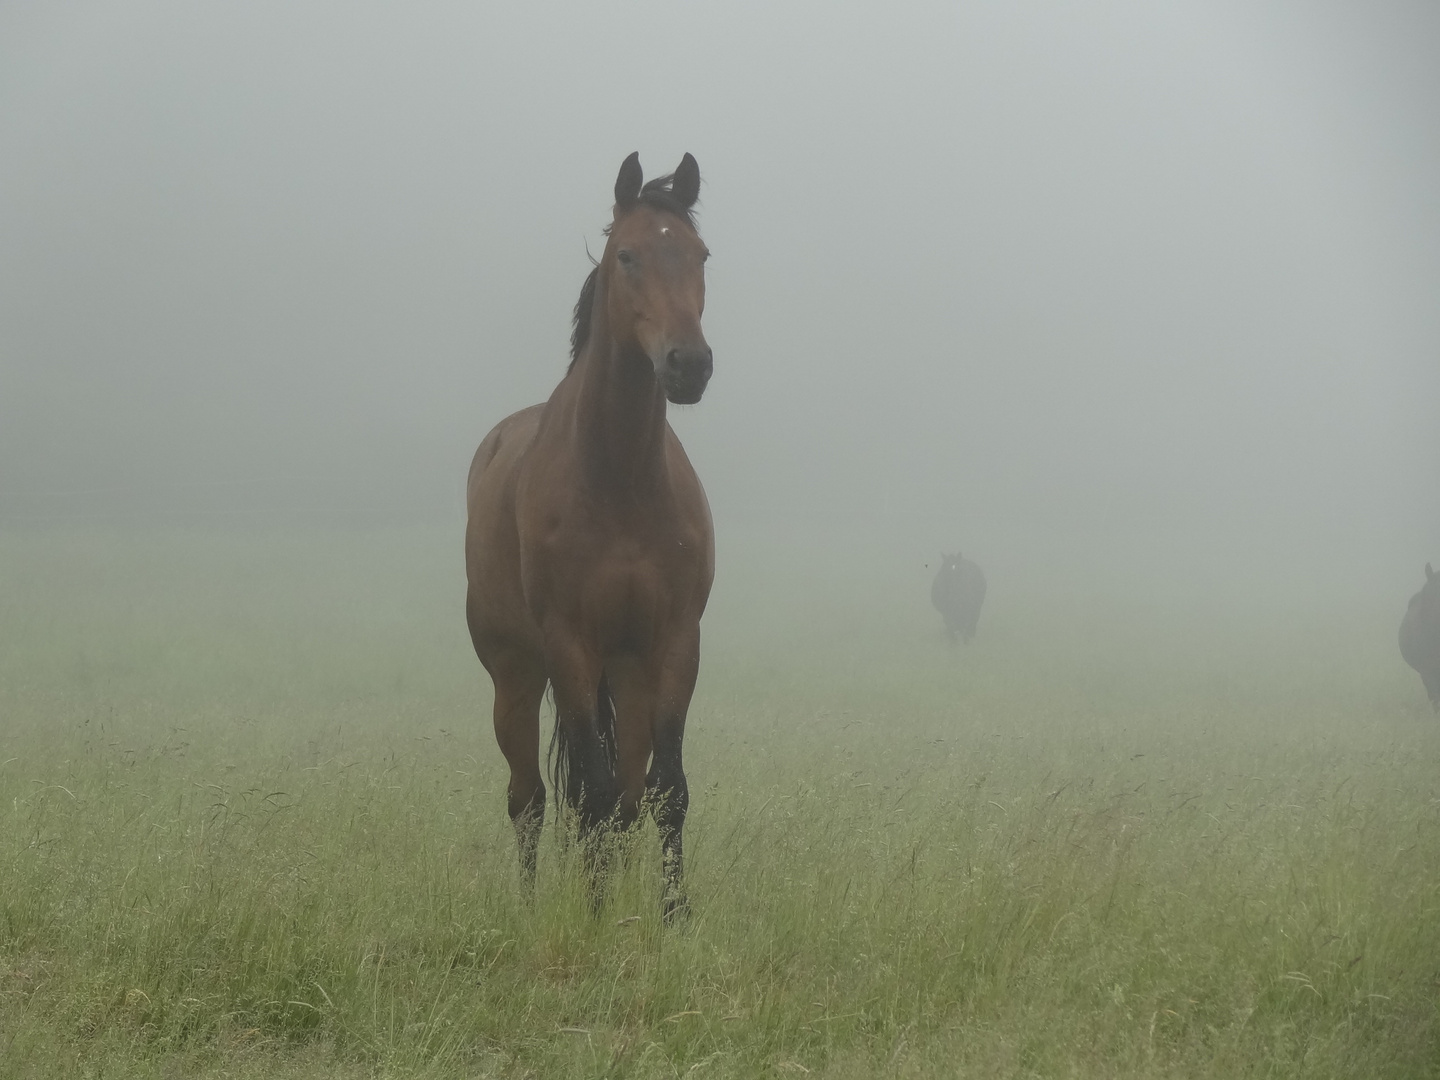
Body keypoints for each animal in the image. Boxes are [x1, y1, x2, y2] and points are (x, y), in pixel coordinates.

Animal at [466, 150, 714, 915]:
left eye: (700, 255)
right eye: (627, 256)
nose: (689, 365)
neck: (620, 481)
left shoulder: (674, 644)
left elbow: (664, 792)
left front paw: (671, 915)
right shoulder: (568, 645)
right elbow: (593, 797)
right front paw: (596, 915)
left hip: (627, 674)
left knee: (625, 794)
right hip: (516, 676)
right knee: (531, 799)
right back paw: (530, 906)